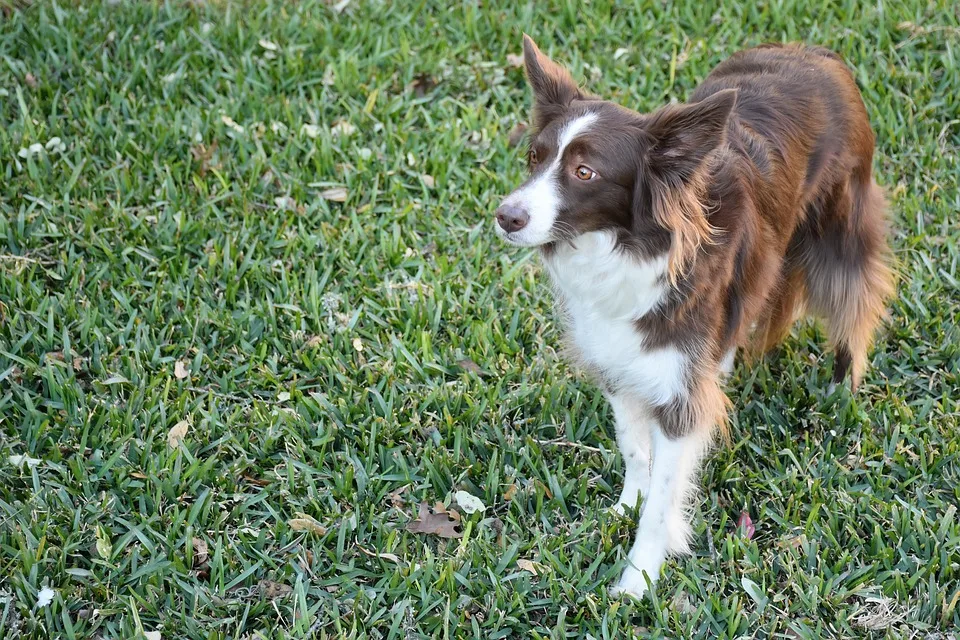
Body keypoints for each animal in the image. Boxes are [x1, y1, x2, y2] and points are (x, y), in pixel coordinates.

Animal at [496, 33, 892, 596]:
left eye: (584, 172)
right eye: (535, 157)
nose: (506, 217)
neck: (624, 248)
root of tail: (816, 52)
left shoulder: (679, 396)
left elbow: (664, 495)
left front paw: (638, 579)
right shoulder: (618, 359)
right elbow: (633, 446)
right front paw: (628, 503)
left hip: (840, 224)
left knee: (855, 303)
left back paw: (841, 387)